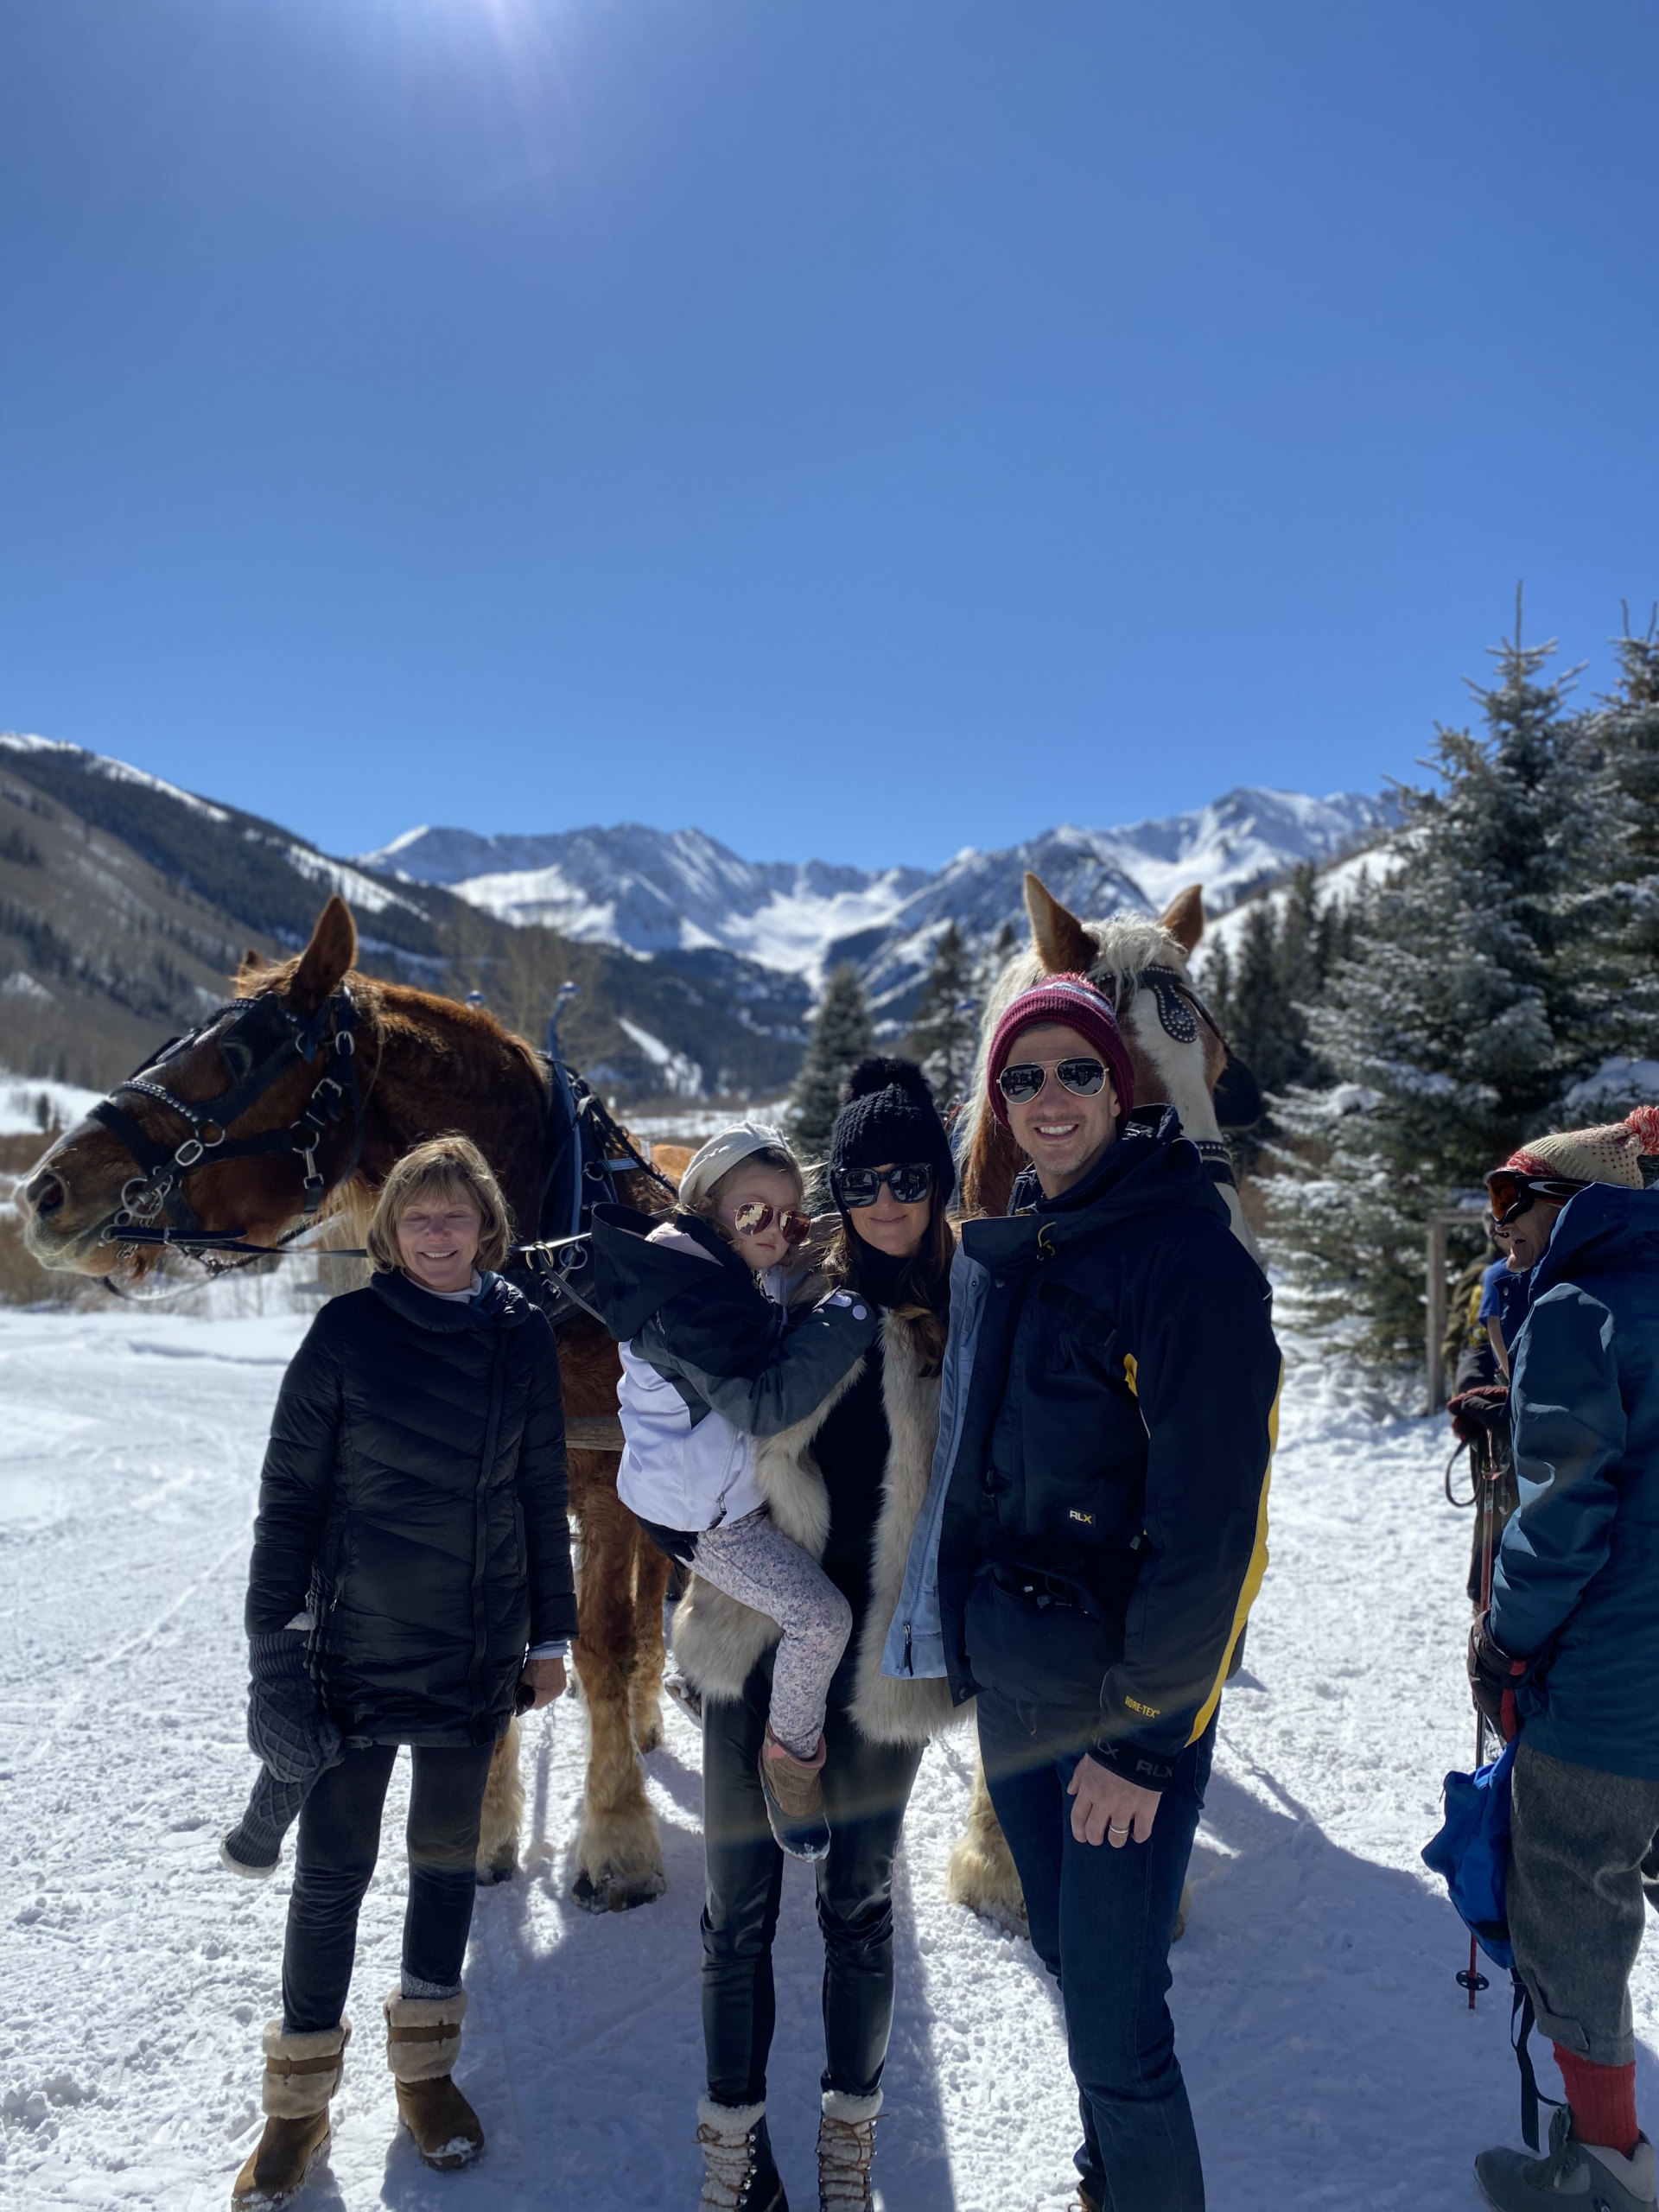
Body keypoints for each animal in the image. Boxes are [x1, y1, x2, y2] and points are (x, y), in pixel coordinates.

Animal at [17, 898, 690, 1920]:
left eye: (240, 1054)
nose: (42, 1193)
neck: (549, 1258)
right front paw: (485, 1832)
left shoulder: (609, 1482)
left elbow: (607, 1644)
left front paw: (616, 1841)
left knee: (650, 1606)